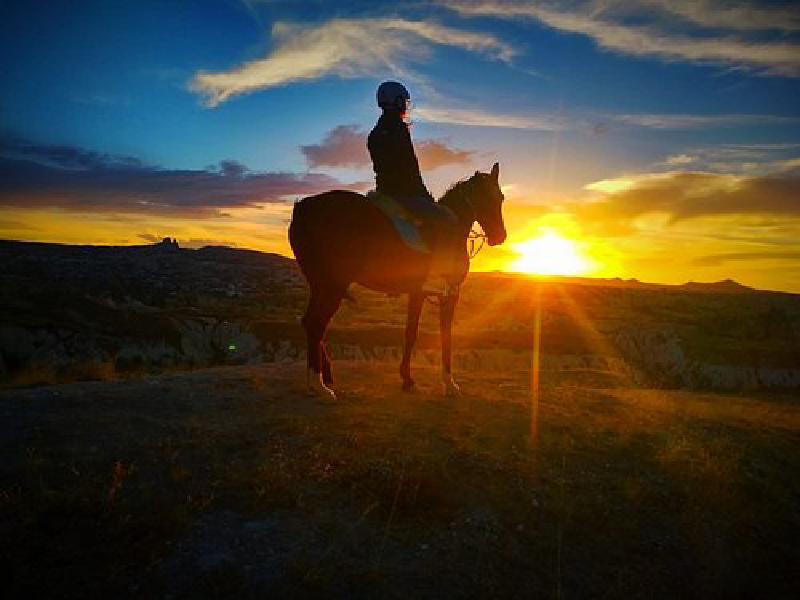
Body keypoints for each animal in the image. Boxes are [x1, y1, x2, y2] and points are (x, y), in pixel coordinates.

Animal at [288, 164, 506, 398]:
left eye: (500, 197)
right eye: (482, 197)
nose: (499, 236)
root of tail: (304, 206)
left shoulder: (417, 293)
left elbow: (410, 333)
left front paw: (407, 378)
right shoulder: (450, 293)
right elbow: (445, 335)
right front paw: (449, 383)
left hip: (320, 283)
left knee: (310, 322)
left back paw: (325, 375)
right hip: (335, 284)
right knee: (317, 323)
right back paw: (318, 385)